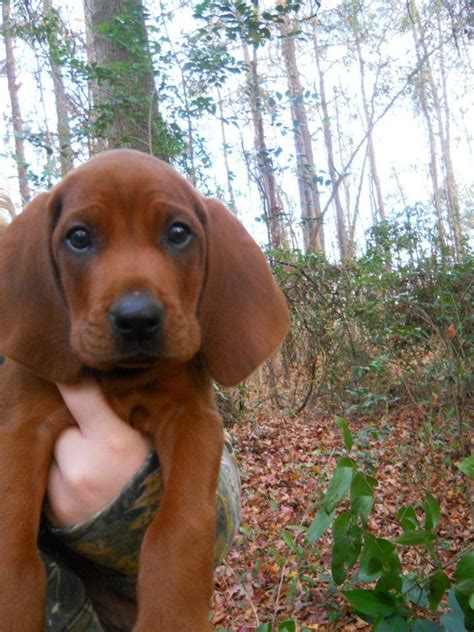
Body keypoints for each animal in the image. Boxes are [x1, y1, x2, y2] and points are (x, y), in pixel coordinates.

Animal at [0, 149, 288, 632]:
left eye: (178, 233)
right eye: (79, 237)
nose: (137, 318)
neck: (119, 379)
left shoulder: (193, 419)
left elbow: (179, 528)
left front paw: (172, 615)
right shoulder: (21, 428)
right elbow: (13, 552)